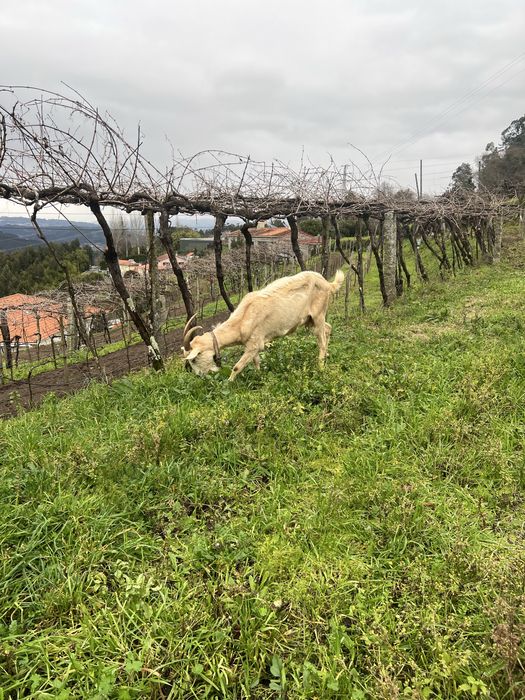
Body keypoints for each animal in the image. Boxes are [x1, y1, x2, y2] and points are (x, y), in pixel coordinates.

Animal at [181, 269, 344, 381]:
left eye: (194, 359)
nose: (200, 376)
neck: (242, 320)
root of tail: (328, 284)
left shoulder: (254, 343)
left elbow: (237, 366)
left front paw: (228, 383)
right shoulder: (252, 345)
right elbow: (256, 361)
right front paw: (259, 376)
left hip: (318, 314)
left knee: (321, 339)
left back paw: (320, 365)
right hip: (310, 319)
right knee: (328, 328)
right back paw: (327, 355)